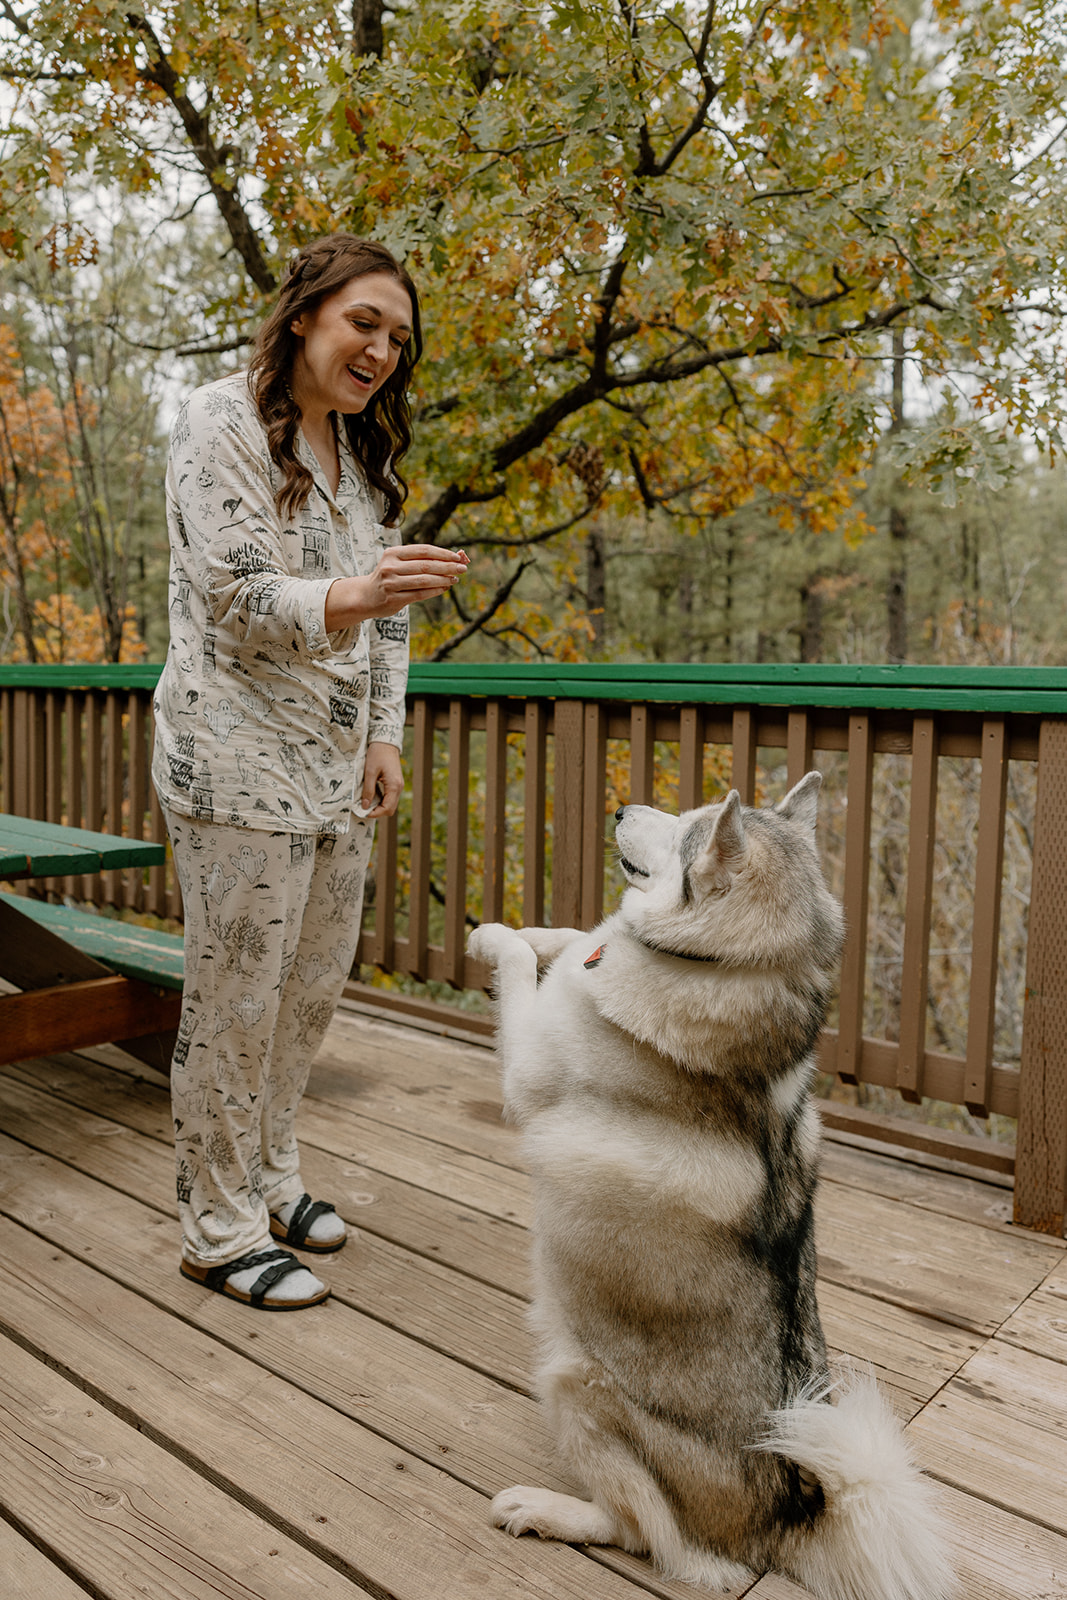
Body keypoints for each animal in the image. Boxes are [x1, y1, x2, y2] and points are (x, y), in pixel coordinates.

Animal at [463, 774, 953, 1600]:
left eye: (684, 828)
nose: (622, 807)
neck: (722, 967)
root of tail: (788, 1513)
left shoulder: (527, 1065)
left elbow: (523, 967)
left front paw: (499, 936)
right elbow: (571, 941)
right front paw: (550, 933)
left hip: (575, 1380)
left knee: (644, 1534)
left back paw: (548, 1509)